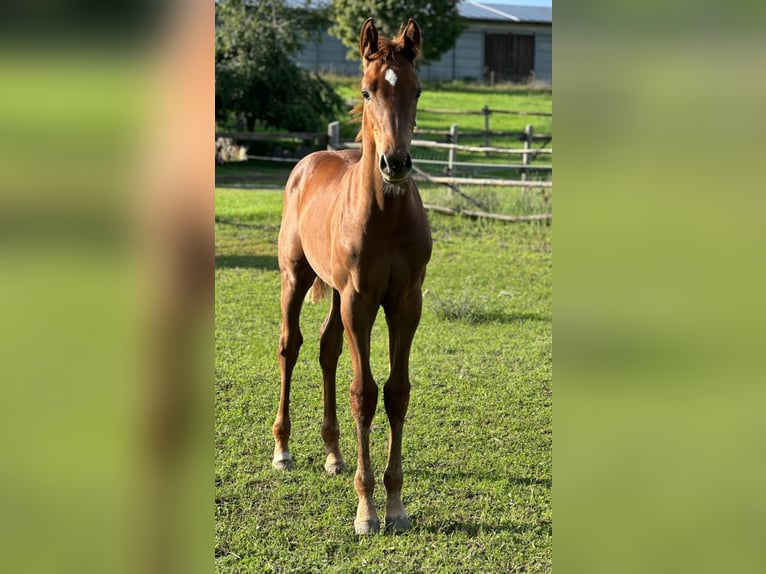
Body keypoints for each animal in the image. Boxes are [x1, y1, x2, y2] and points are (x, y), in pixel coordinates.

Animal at [270, 17, 432, 535]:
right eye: (366, 90)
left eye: (417, 90)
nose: (395, 164)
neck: (385, 218)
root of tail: (308, 161)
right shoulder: (360, 302)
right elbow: (364, 393)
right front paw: (366, 511)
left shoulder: (406, 302)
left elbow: (397, 393)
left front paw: (396, 506)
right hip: (296, 277)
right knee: (291, 345)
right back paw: (282, 449)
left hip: (339, 295)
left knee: (326, 349)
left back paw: (333, 455)